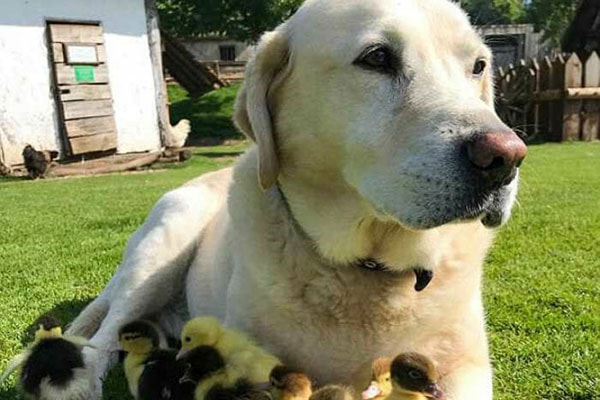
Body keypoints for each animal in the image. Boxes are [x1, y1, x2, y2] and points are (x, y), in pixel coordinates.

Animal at [69, 0, 524, 400]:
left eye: (478, 66)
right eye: (377, 58)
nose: (506, 158)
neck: (367, 268)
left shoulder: (467, 367)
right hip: (163, 245)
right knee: (107, 333)